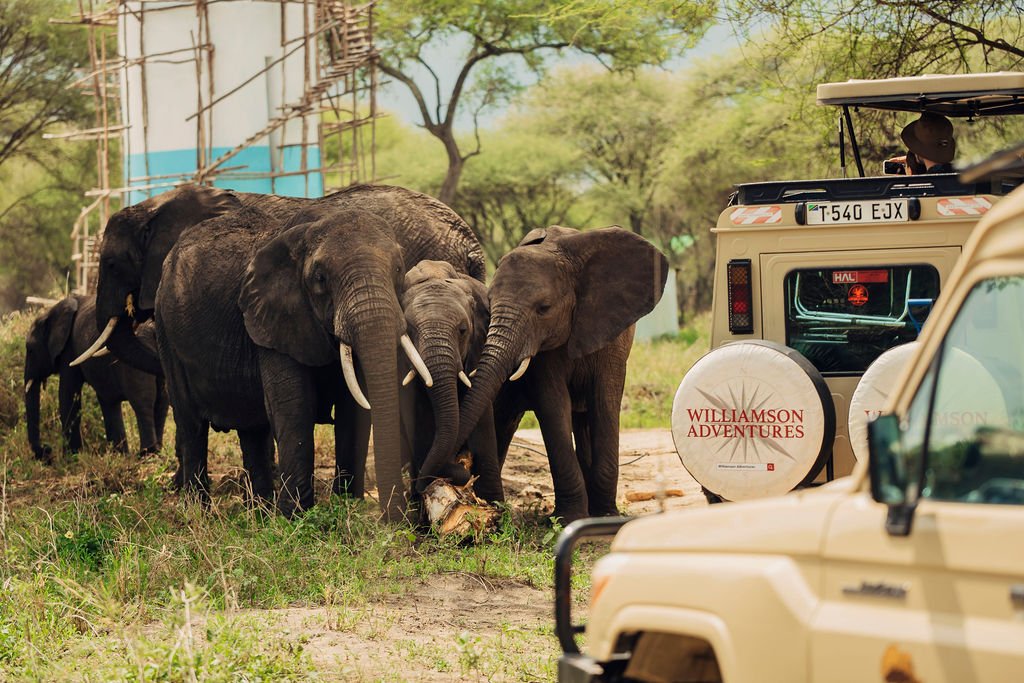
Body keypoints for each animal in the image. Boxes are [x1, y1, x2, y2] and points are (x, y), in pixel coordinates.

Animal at [24, 295, 168, 461]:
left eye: (30, 350)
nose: (47, 450)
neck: (51, 311)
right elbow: (107, 400)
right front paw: (119, 456)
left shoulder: (69, 351)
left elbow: (68, 394)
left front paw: (71, 459)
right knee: (162, 402)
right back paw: (157, 453)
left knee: (143, 402)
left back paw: (146, 455)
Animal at [398, 260, 503, 503]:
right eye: (409, 330)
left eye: (463, 330)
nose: (463, 468)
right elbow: (420, 418)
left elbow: (482, 416)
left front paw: (497, 508)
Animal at [455, 226, 668, 523]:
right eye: (489, 304)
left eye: (544, 308)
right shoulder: (544, 352)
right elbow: (554, 405)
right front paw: (570, 519)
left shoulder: (611, 336)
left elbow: (605, 402)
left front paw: (605, 516)